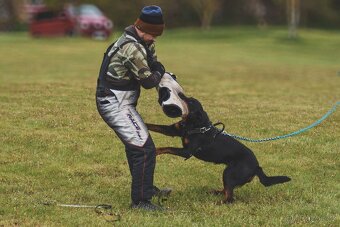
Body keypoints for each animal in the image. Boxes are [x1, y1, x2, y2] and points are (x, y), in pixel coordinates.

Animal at [145, 93, 290, 203]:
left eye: (190, 101)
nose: (181, 94)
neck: (196, 125)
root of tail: (257, 167)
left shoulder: (186, 152)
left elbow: (166, 147)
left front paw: (156, 151)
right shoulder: (172, 130)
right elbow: (152, 126)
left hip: (229, 173)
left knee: (230, 198)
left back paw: (218, 202)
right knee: (226, 190)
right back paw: (213, 192)